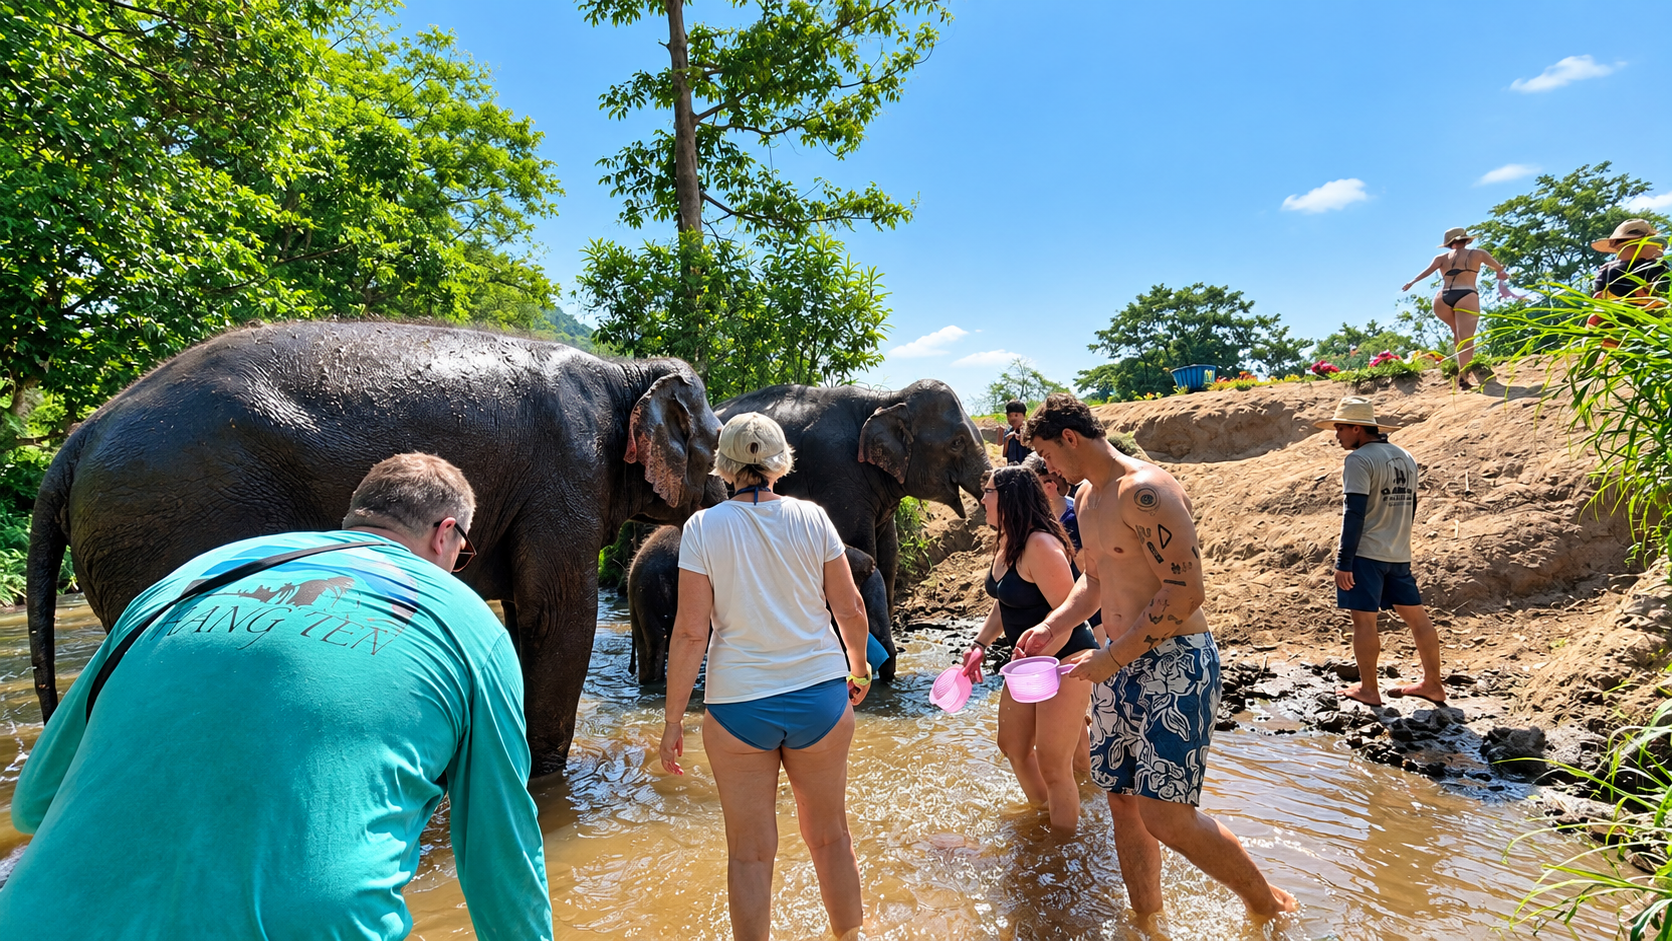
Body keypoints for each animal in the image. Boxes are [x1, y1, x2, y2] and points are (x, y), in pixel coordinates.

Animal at [27, 320, 723, 776]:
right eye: (718, 442)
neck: (621, 371)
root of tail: (80, 436)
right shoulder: (566, 474)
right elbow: (556, 617)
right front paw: (546, 780)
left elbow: (527, 618)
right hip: (175, 509)